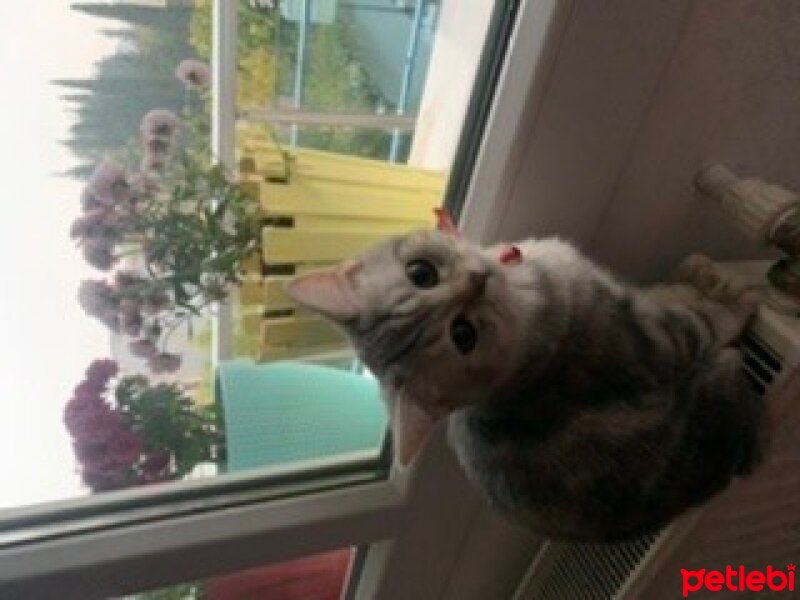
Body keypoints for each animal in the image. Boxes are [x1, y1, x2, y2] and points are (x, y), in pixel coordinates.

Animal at [284, 229, 764, 540]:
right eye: (463, 335)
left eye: (420, 273)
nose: (478, 280)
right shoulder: (649, 340)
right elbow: (704, 319)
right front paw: (731, 293)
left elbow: (670, 293)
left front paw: (695, 274)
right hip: (718, 392)